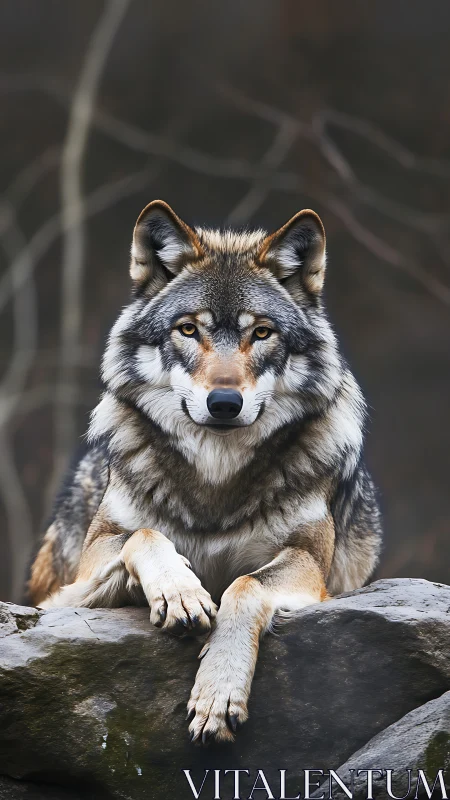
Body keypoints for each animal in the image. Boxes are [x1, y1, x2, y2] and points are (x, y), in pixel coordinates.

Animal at [29, 200, 382, 744]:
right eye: (189, 329)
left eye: (262, 332)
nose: (224, 403)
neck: (216, 476)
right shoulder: (96, 553)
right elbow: (146, 536)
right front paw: (180, 594)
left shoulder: (306, 562)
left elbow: (244, 586)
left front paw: (218, 694)